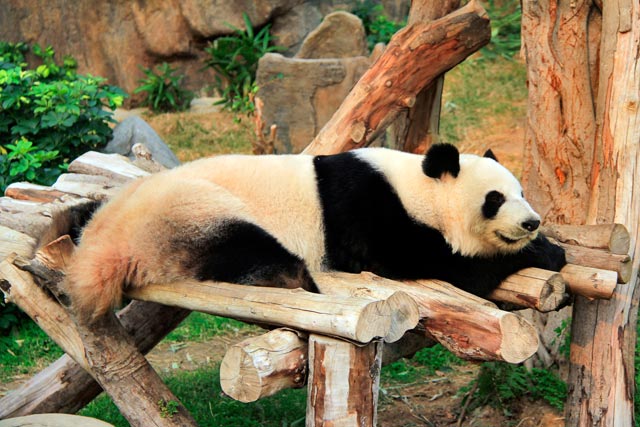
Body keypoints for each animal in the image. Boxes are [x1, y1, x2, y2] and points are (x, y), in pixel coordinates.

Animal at [65, 143, 566, 323]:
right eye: (495, 199)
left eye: (523, 191)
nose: (531, 222)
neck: (418, 185)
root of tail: (99, 249)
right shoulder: (367, 210)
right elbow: (416, 261)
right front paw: (545, 253)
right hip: (192, 213)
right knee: (249, 248)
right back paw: (289, 278)